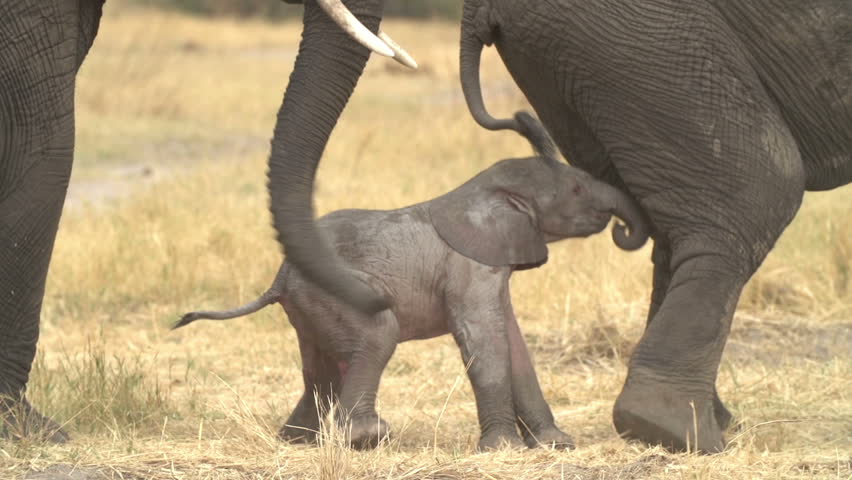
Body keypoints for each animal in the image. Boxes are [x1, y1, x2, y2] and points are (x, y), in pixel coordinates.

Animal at [176, 111, 648, 450]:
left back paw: (297, 442)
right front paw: (505, 450)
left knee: (321, 371)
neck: (484, 189)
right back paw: (367, 440)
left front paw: (555, 445)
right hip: (339, 296)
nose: (622, 228)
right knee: (377, 335)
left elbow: (513, 341)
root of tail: (281, 275)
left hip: (310, 305)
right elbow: (484, 339)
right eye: (576, 191)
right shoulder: (468, 269)